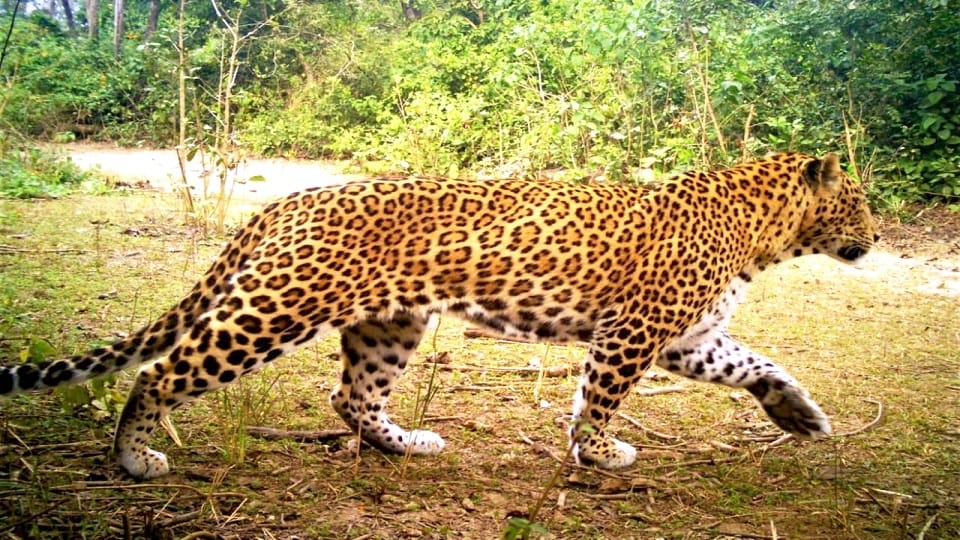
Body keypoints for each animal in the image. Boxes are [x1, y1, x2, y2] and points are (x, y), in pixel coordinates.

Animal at [0, 151, 876, 479]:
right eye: (861, 202)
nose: (875, 238)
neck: (765, 235)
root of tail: (286, 202)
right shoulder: (635, 334)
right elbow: (597, 399)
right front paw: (597, 453)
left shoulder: (685, 339)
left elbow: (757, 365)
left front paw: (799, 415)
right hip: (273, 312)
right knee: (160, 372)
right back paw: (133, 459)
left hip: (390, 324)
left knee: (351, 396)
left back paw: (408, 442)